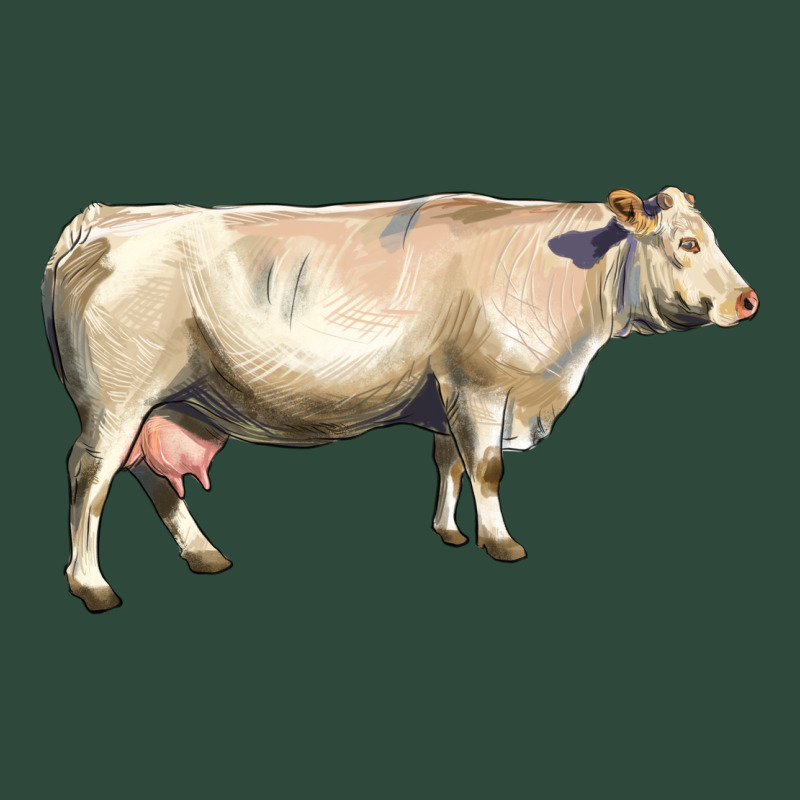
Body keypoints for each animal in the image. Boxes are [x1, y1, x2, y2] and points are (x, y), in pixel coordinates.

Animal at [42, 187, 758, 612]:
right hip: (116, 398)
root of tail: (104, 217)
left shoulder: (447, 392)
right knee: (90, 476)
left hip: (159, 404)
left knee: (149, 477)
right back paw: (92, 585)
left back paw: (202, 554)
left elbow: (449, 462)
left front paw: (448, 530)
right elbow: (487, 468)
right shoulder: (481, 384)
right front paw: (500, 543)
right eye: (687, 242)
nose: (749, 300)